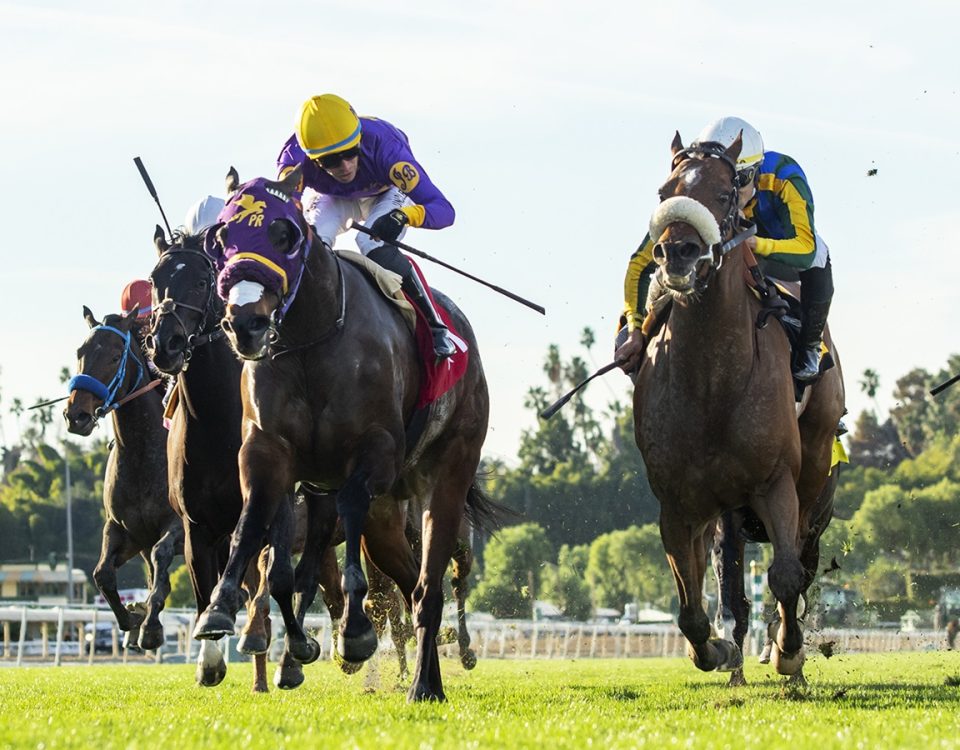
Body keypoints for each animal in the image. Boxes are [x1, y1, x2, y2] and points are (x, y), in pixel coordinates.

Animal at [63, 308, 182, 648]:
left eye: (116, 356)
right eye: (80, 352)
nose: (76, 416)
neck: (143, 456)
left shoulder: (179, 525)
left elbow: (162, 556)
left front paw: (151, 627)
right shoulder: (125, 531)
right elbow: (102, 573)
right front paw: (135, 616)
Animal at [196, 170, 496, 704]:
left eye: (285, 234)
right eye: (222, 237)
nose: (245, 323)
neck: (310, 340)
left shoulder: (375, 451)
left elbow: (349, 509)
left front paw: (353, 633)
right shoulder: (267, 450)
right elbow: (253, 528)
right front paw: (220, 607)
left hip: (447, 471)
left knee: (431, 583)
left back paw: (425, 682)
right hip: (386, 519)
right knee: (413, 586)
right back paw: (425, 675)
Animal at [632, 134, 844, 680]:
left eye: (725, 193)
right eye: (663, 191)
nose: (676, 251)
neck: (711, 383)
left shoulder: (776, 482)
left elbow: (787, 576)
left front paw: (789, 651)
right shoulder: (677, 503)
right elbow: (690, 604)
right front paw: (715, 649)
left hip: (813, 476)